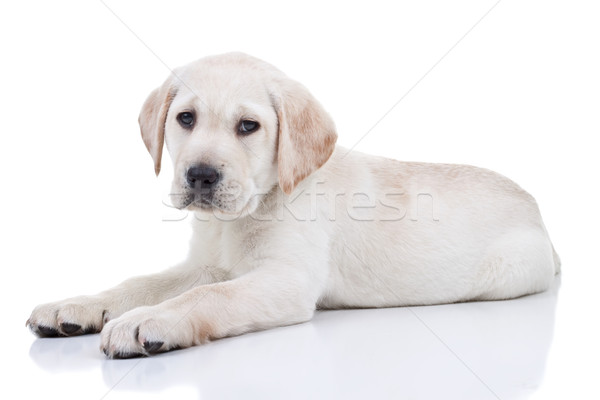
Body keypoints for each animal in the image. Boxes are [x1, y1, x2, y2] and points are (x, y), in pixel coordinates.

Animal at [24, 51, 556, 358]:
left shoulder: (286, 279)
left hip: (511, 271)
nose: (201, 175)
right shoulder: (207, 264)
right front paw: (78, 305)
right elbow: (142, 282)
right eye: (186, 119)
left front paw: (145, 321)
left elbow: (205, 296)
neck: (243, 214)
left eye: (248, 127)